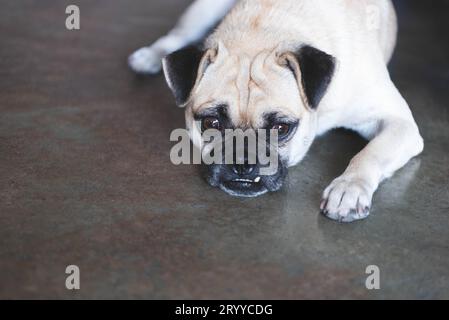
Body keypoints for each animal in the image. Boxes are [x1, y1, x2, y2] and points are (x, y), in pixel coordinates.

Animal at [127, 0, 424, 222]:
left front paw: (349, 188)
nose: (243, 162)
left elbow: (370, 153)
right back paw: (150, 55)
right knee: (179, 34)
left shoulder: (400, 123)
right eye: (211, 123)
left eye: (281, 128)